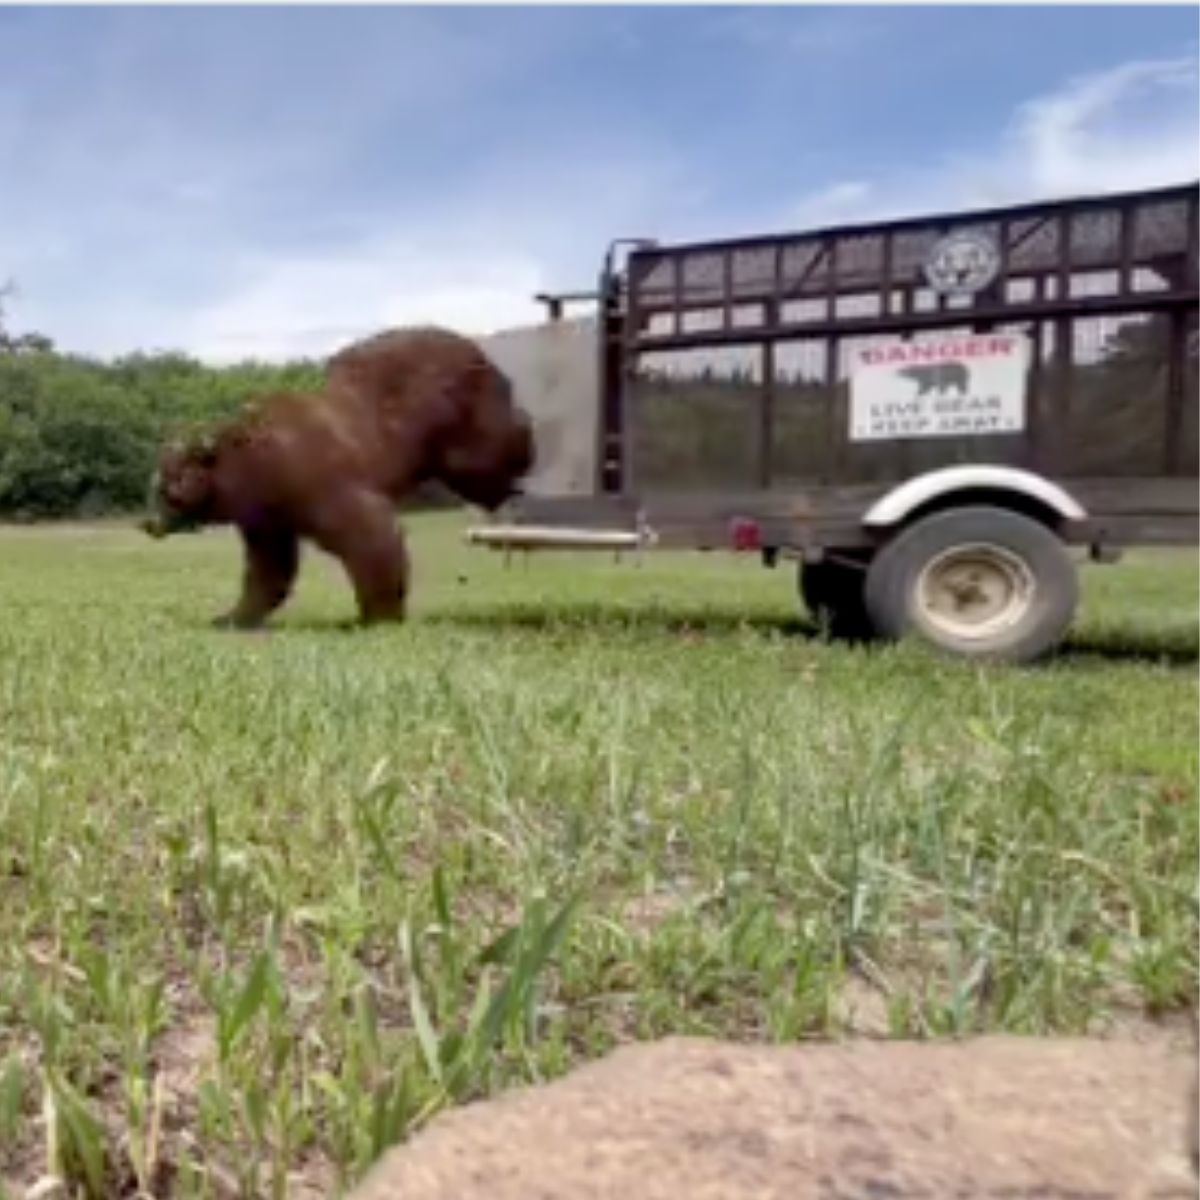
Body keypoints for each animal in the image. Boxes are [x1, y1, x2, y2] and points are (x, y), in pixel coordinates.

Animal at [141, 324, 535, 633]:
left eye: (168, 488)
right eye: (156, 486)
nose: (149, 523)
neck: (253, 472)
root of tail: (478, 347)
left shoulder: (314, 477)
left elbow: (367, 533)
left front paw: (378, 615)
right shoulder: (269, 515)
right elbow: (270, 566)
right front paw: (230, 616)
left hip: (466, 417)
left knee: (492, 459)